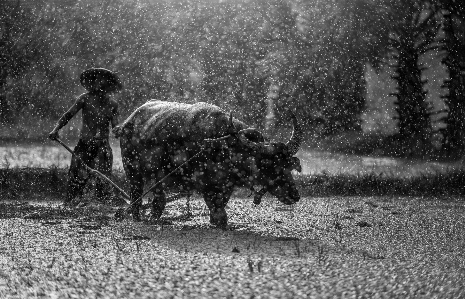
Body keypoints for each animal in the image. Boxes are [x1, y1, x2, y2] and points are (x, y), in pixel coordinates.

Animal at [111, 101, 300, 227]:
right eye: (269, 165)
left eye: (287, 166)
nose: (295, 195)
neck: (224, 146)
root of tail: (127, 123)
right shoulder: (206, 184)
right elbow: (217, 209)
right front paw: (219, 222)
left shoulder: (226, 185)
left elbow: (221, 203)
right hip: (132, 170)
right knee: (136, 195)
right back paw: (137, 217)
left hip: (157, 175)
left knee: (159, 197)